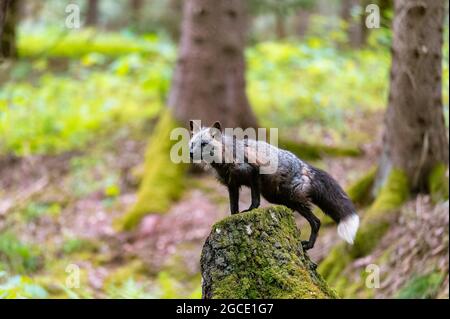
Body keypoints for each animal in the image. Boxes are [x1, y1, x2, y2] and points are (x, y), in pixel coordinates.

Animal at [188, 120, 360, 250]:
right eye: (192, 144)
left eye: (204, 144)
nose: (190, 154)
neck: (226, 158)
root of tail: (303, 165)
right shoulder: (232, 185)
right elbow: (233, 207)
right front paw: (234, 216)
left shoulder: (253, 173)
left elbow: (255, 200)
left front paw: (250, 209)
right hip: (279, 198)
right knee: (310, 218)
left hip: (292, 198)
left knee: (317, 222)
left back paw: (308, 245)